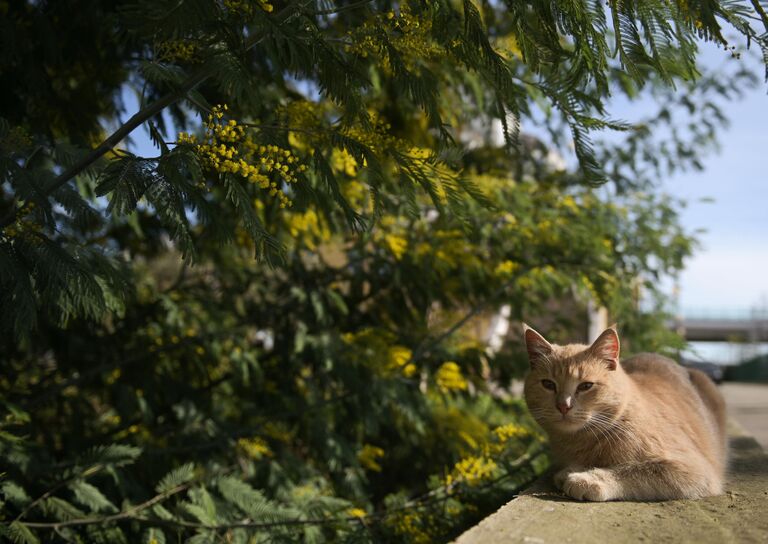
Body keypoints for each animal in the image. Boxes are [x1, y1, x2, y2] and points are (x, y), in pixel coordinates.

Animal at [520, 324, 728, 502]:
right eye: (548, 384)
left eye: (586, 386)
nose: (564, 406)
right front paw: (572, 470)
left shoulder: (691, 469)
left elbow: (634, 470)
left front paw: (590, 479)